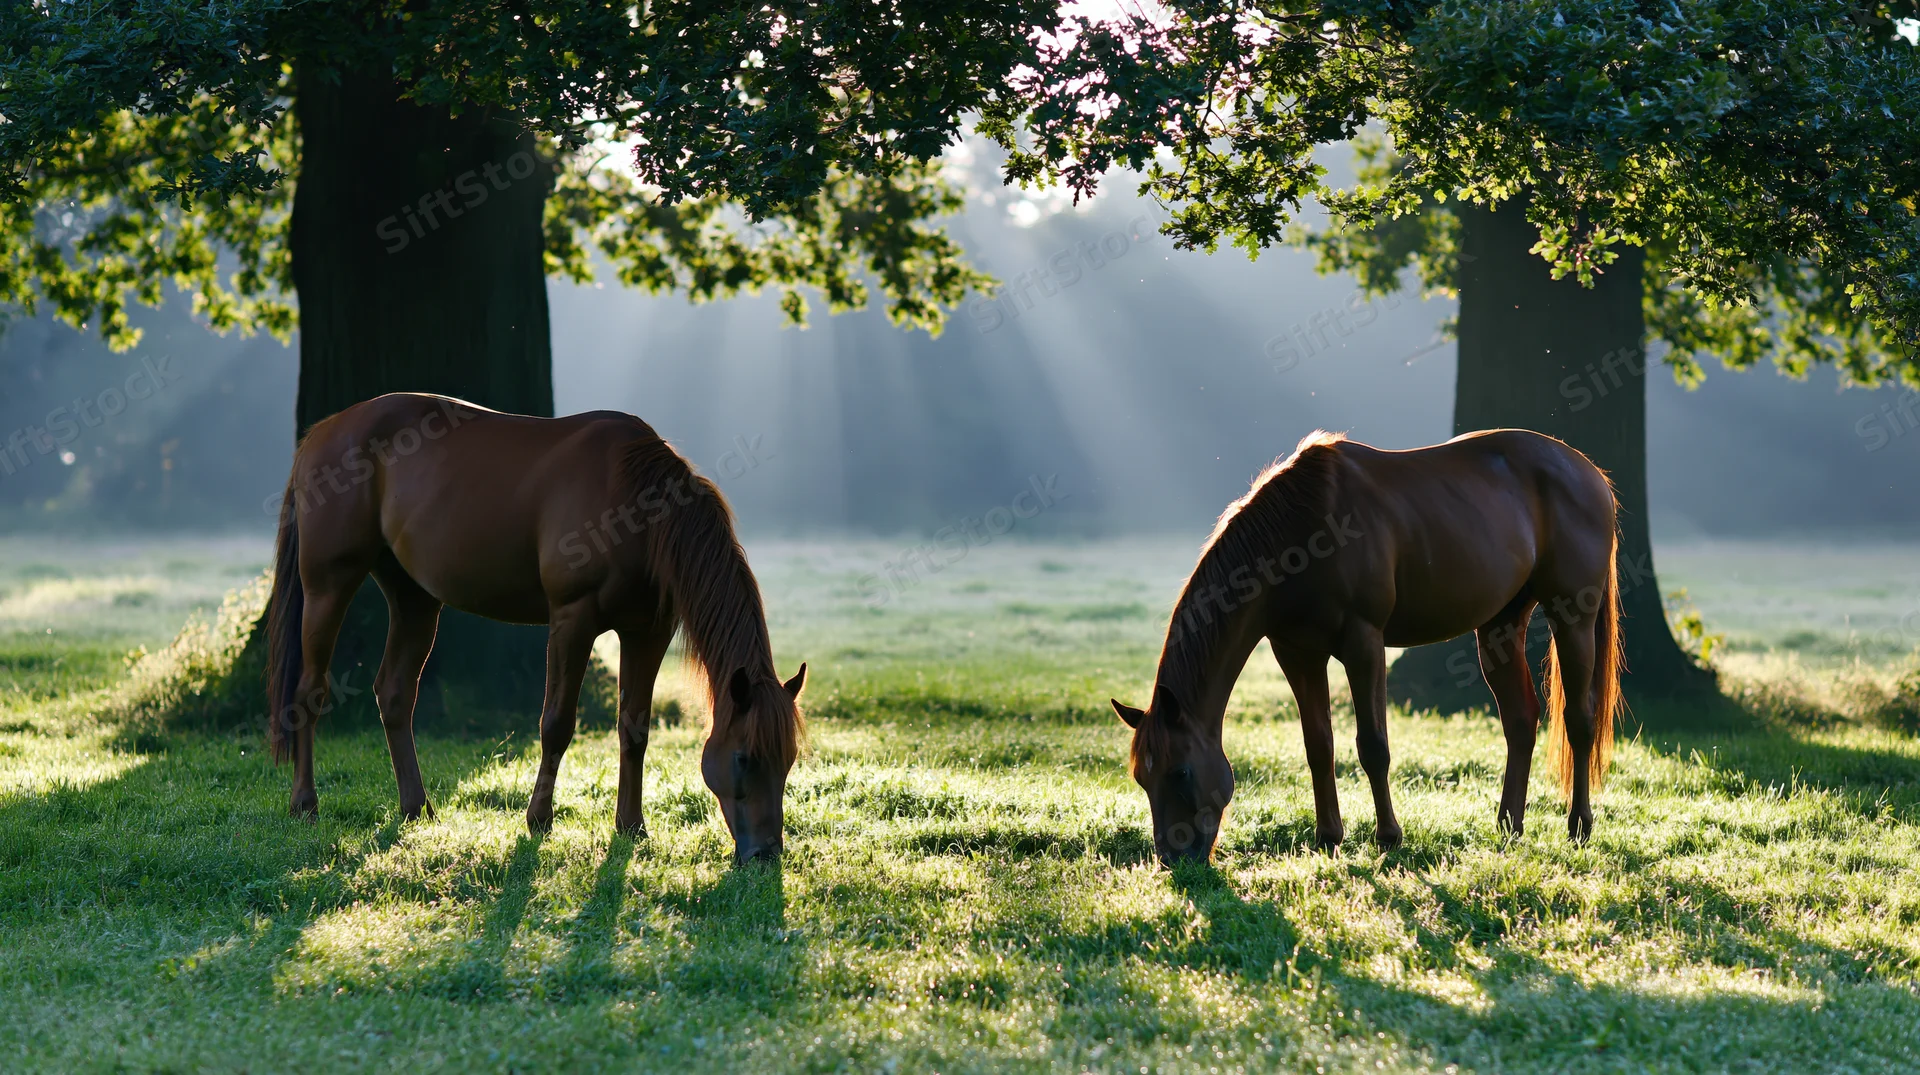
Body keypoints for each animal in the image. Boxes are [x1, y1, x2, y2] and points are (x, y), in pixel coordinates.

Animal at [263, 392, 805, 864]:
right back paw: (305, 805)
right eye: (744, 758)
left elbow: (634, 729)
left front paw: (631, 827)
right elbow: (557, 724)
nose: (765, 855)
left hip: (414, 599)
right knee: (309, 691)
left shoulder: (647, 633)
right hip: (329, 585)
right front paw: (539, 820)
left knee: (394, 694)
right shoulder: (572, 620)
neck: (634, 505)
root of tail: (323, 433)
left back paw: (417, 809)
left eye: (789, 760)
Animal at [1111, 429, 1622, 865]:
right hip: (1499, 624)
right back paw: (1509, 826)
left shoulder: (1363, 645)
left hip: (1572, 618)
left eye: (1180, 772)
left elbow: (1373, 745)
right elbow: (1318, 745)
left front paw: (1389, 837)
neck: (1300, 535)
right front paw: (1327, 838)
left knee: (1579, 720)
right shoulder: (1298, 655)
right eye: (1141, 777)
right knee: (1520, 720)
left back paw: (1579, 825)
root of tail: (1588, 472)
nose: (1172, 858)